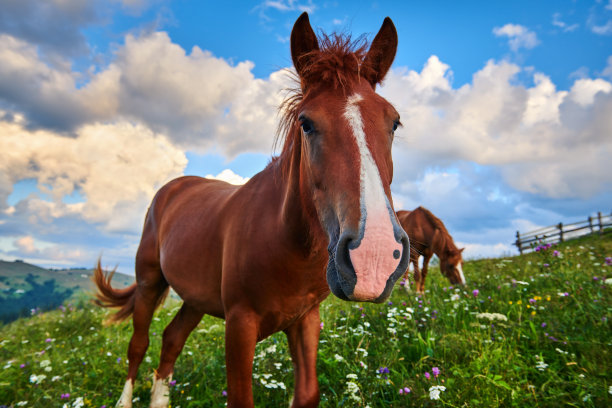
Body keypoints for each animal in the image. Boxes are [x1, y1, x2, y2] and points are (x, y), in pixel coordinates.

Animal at [93, 12, 408, 408]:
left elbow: (307, 393)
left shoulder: (305, 320)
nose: (374, 256)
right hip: (150, 282)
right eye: (306, 123)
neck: (285, 241)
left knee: (172, 339)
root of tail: (174, 187)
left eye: (393, 122)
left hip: (195, 298)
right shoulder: (240, 325)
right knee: (139, 344)